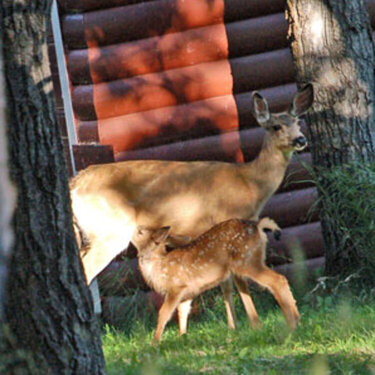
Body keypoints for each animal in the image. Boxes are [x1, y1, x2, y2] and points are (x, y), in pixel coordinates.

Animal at [70, 83, 314, 330]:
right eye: (276, 126)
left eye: (298, 122)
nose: (301, 140)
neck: (250, 183)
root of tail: (75, 183)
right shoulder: (226, 222)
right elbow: (237, 280)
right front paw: (252, 325)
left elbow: (225, 282)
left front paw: (233, 326)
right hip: (110, 231)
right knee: (87, 269)